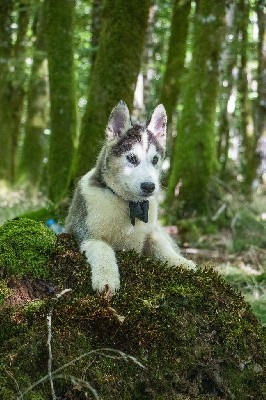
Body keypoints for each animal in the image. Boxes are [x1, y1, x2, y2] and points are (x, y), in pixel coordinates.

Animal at [65, 101, 196, 298]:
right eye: (132, 158)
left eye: (155, 159)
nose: (149, 186)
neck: (129, 204)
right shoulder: (85, 233)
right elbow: (103, 249)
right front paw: (106, 279)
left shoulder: (151, 232)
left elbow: (161, 244)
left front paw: (180, 262)